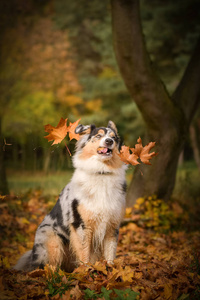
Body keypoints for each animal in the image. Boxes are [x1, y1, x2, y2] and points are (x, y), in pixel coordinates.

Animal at [14, 120, 126, 272]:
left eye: (114, 138)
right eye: (98, 136)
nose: (109, 141)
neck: (101, 172)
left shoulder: (112, 223)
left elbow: (110, 252)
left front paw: (111, 270)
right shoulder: (81, 224)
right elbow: (84, 253)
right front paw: (86, 272)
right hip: (51, 240)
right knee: (48, 266)